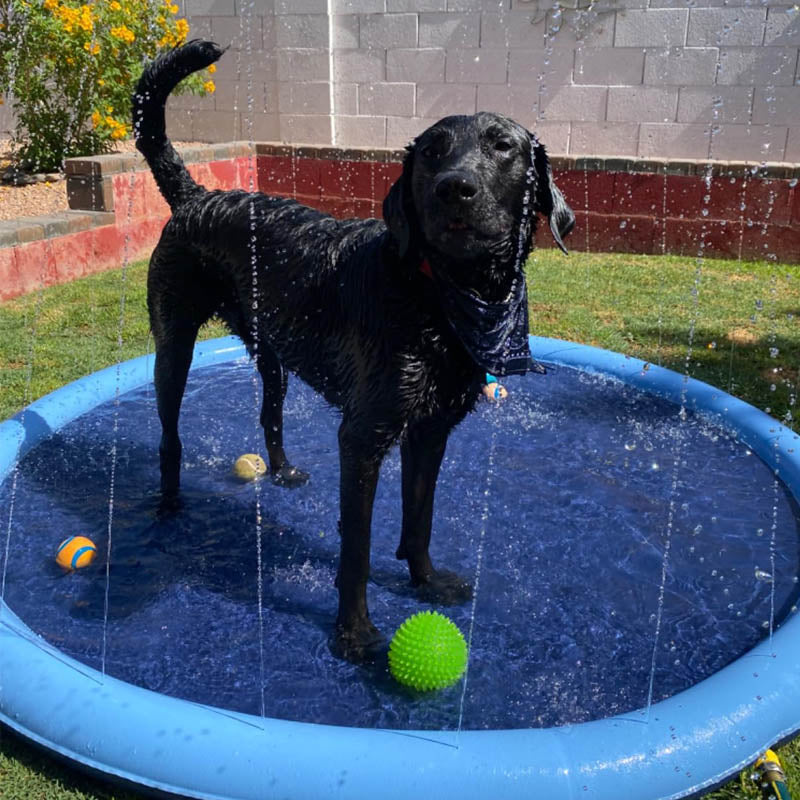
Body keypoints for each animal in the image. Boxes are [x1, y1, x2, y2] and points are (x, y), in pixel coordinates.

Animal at [136, 39, 576, 664]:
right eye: (432, 153)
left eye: (503, 146)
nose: (454, 188)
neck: (435, 294)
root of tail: (199, 196)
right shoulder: (364, 436)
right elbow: (358, 547)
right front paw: (354, 632)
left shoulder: (432, 429)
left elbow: (420, 514)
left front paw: (426, 581)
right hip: (173, 343)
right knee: (169, 432)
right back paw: (170, 504)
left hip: (271, 349)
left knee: (269, 411)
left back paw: (283, 471)